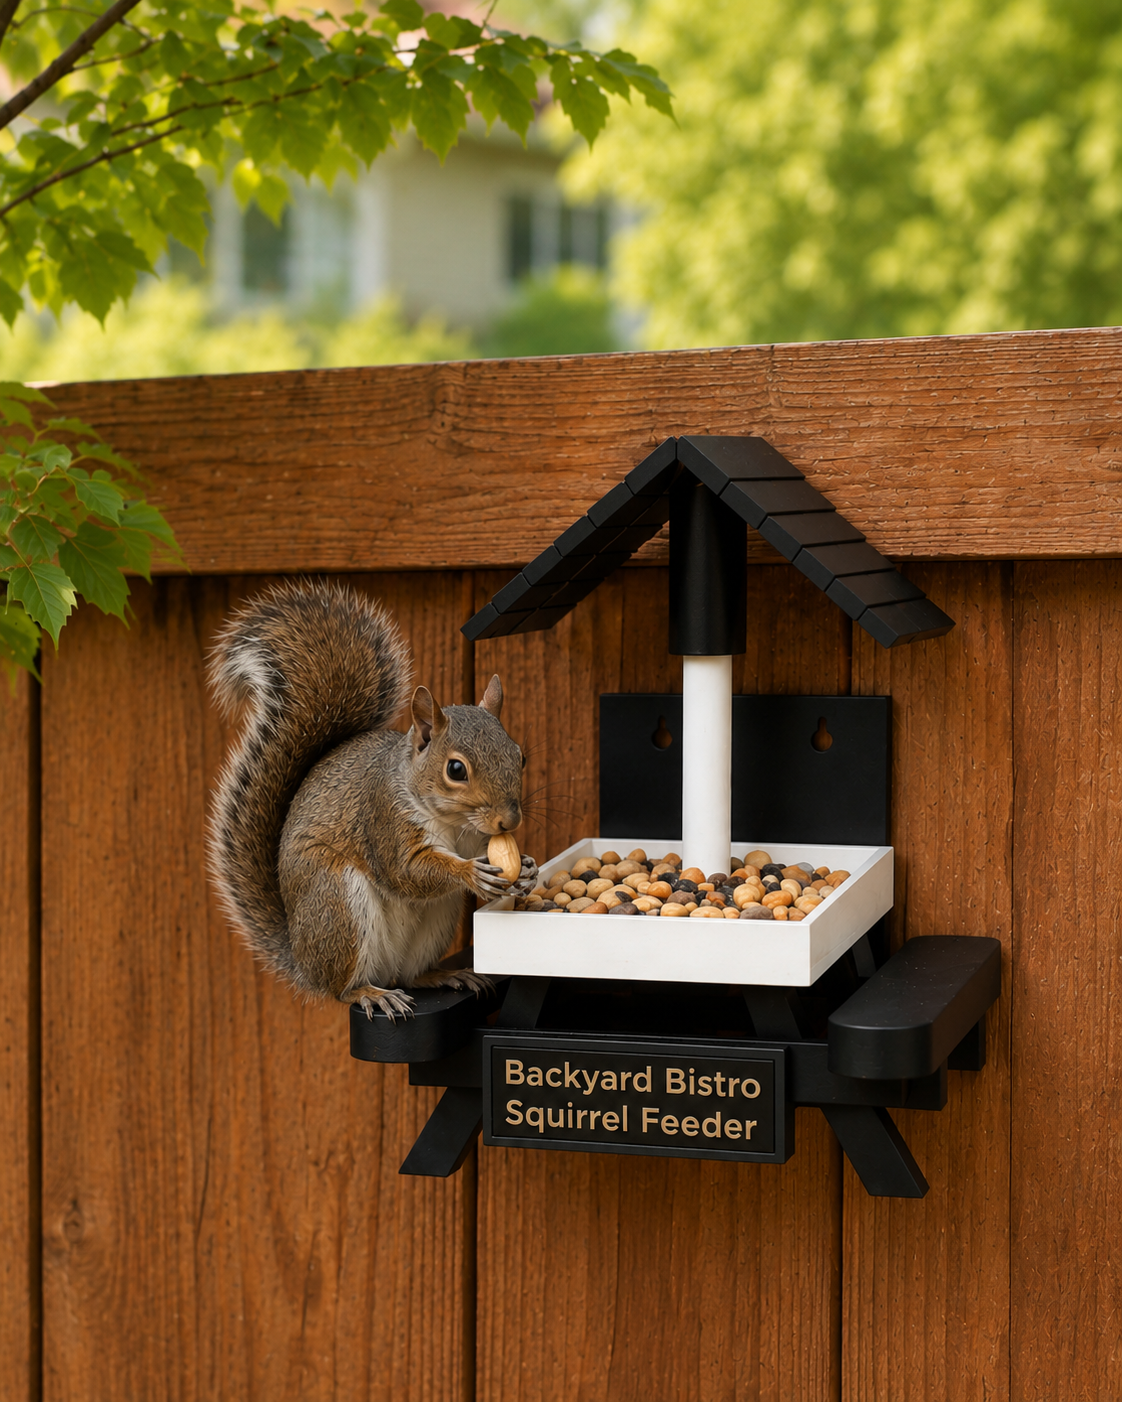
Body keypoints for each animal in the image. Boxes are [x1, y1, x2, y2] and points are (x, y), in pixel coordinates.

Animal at [207, 579, 536, 1020]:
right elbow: (406, 870)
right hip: (338, 905)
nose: (509, 821)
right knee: (342, 988)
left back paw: (444, 975)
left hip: (435, 921)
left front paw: (528, 868)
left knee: (409, 974)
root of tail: (303, 960)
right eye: (456, 770)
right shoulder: (385, 818)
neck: (453, 824)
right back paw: (370, 994)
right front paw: (470, 873)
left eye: (519, 755)